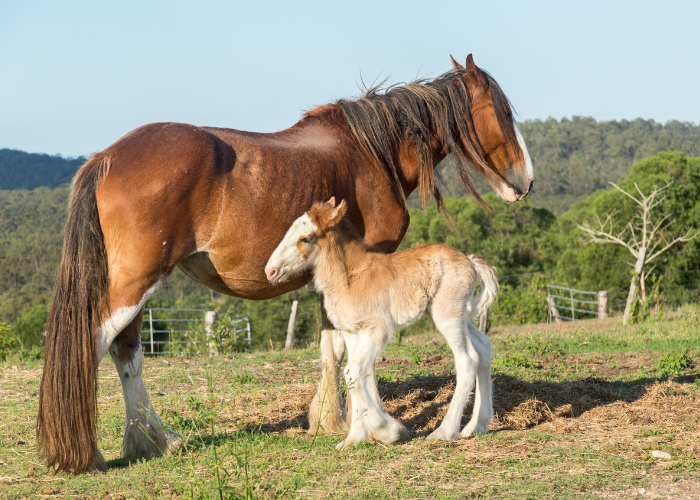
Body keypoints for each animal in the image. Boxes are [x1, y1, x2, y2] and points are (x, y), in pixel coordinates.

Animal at [265, 198, 499, 447]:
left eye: (306, 238)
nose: (270, 271)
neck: (350, 278)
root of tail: (470, 261)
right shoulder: (352, 333)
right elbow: (360, 376)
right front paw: (355, 438)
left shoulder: (379, 330)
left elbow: (352, 372)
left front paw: (389, 431)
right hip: (454, 315)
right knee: (484, 347)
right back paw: (476, 426)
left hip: (447, 314)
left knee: (466, 361)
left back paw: (444, 432)